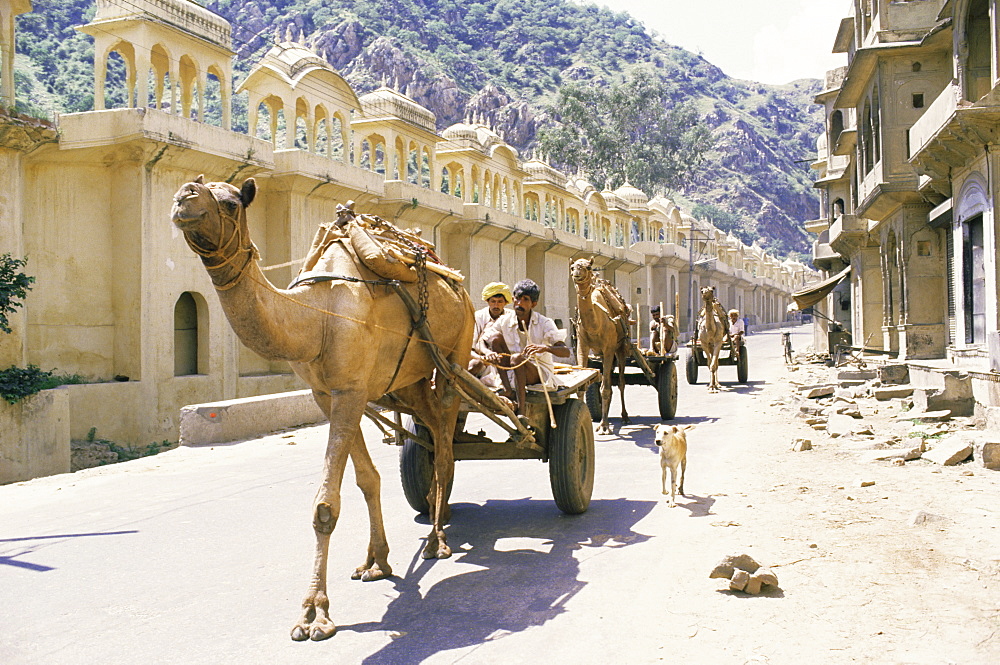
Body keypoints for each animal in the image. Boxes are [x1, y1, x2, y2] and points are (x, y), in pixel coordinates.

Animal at [171, 175, 476, 640]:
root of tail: (457, 282)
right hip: (410, 381)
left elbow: (324, 506)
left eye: (230, 202)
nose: (184, 195)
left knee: (444, 440)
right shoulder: (328, 394)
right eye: (198, 189)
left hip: (455, 354)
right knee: (431, 429)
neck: (315, 317)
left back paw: (437, 540)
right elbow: (367, 479)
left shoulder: (349, 391)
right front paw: (375, 562)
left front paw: (314, 613)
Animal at [572, 258, 624, 436]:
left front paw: (604, 426)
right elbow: (582, 384)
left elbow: (605, 388)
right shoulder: (582, 346)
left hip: (621, 348)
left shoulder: (609, 349)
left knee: (620, 382)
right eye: (572, 267)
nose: (576, 273)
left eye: (588, 267)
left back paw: (625, 417)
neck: (595, 326)